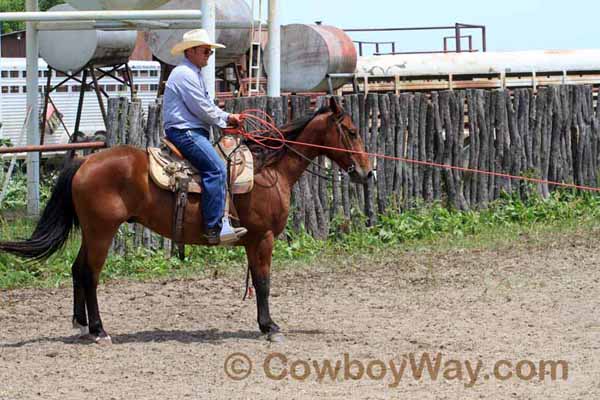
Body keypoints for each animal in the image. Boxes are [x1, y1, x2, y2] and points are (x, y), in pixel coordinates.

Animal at [0, 97, 370, 344]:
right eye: (351, 131)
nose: (367, 172)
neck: (270, 169)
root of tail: (84, 163)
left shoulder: (253, 241)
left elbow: (258, 282)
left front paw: (265, 324)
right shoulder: (262, 238)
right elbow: (264, 283)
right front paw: (270, 327)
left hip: (92, 232)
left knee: (78, 270)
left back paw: (81, 325)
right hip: (102, 231)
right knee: (90, 275)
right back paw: (100, 330)